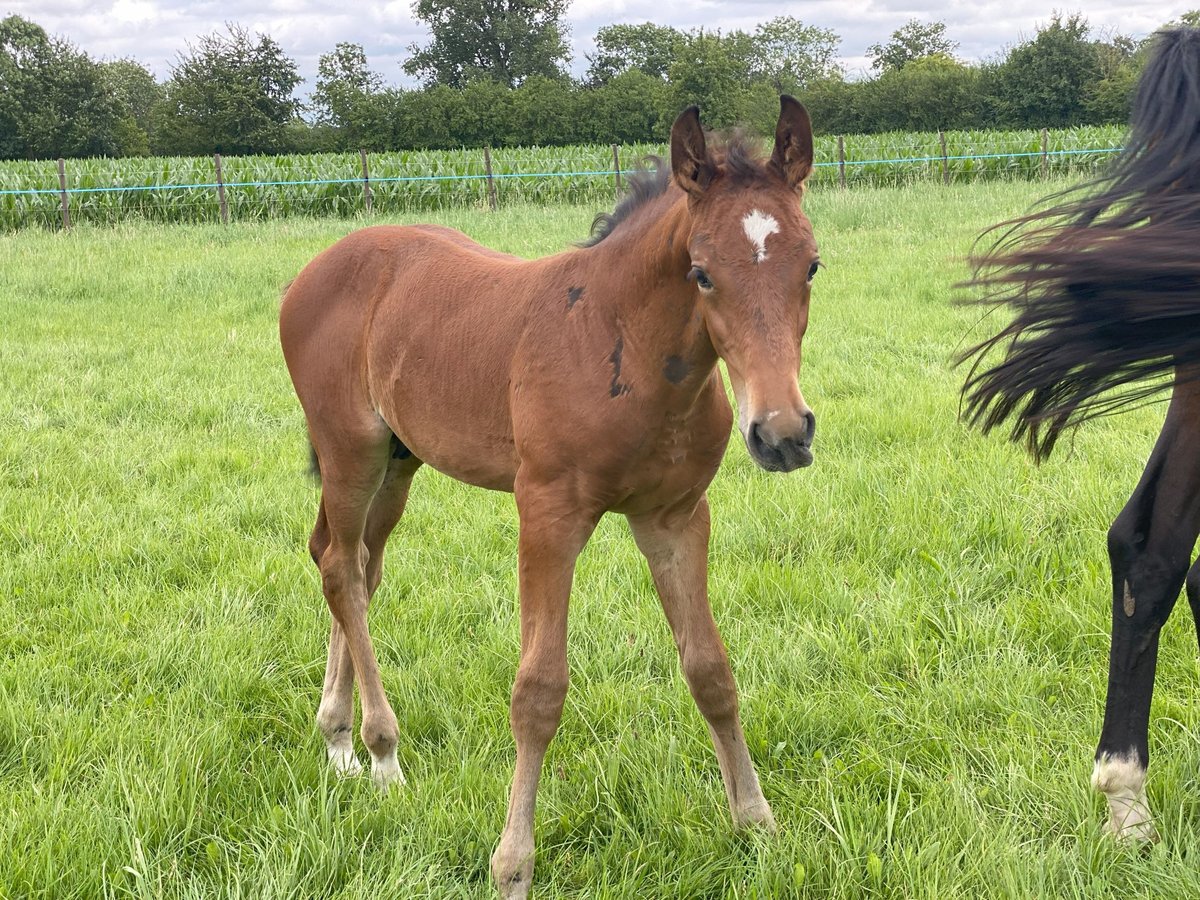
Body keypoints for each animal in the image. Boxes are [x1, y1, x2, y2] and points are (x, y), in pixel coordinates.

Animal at [278, 98, 825, 897]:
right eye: (700, 273)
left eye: (812, 264)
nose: (782, 433)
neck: (620, 343)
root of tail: (312, 271)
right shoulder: (547, 516)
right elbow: (538, 692)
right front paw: (513, 865)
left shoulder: (675, 518)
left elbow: (711, 670)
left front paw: (756, 824)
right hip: (352, 452)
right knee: (340, 569)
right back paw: (381, 752)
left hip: (400, 463)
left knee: (354, 566)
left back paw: (340, 739)